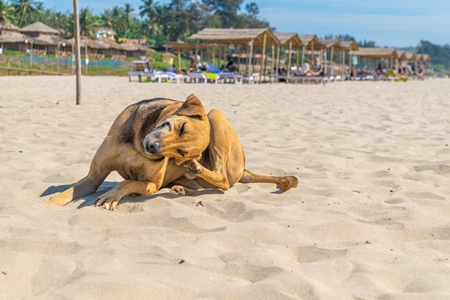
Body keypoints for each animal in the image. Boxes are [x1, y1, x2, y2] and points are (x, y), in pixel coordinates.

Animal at [46, 93, 298, 209]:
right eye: (182, 127)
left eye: (181, 153)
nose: (153, 148)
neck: (137, 145)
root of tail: (245, 169)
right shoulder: (94, 176)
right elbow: (68, 191)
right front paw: (46, 205)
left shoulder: (151, 184)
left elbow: (127, 183)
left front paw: (112, 196)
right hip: (213, 115)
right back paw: (181, 187)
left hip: (217, 121)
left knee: (223, 180)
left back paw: (195, 169)